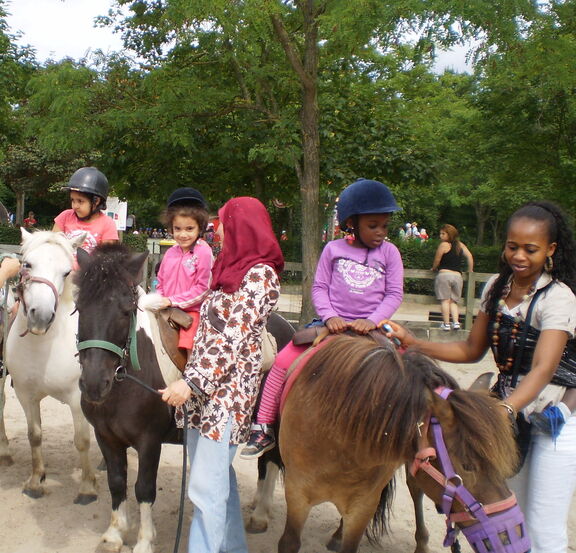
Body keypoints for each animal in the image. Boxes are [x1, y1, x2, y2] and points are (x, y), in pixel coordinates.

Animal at [0, 227, 97, 500]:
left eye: (66, 272)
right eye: (27, 264)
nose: (41, 316)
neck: (44, 347)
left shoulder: (77, 397)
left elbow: (82, 440)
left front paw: (87, 486)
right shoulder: (26, 394)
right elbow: (35, 435)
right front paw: (35, 481)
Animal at [280, 334, 528, 552]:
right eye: (467, 465)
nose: (515, 536)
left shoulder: (363, 506)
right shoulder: (296, 493)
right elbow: (289, 543)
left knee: (415, 489)